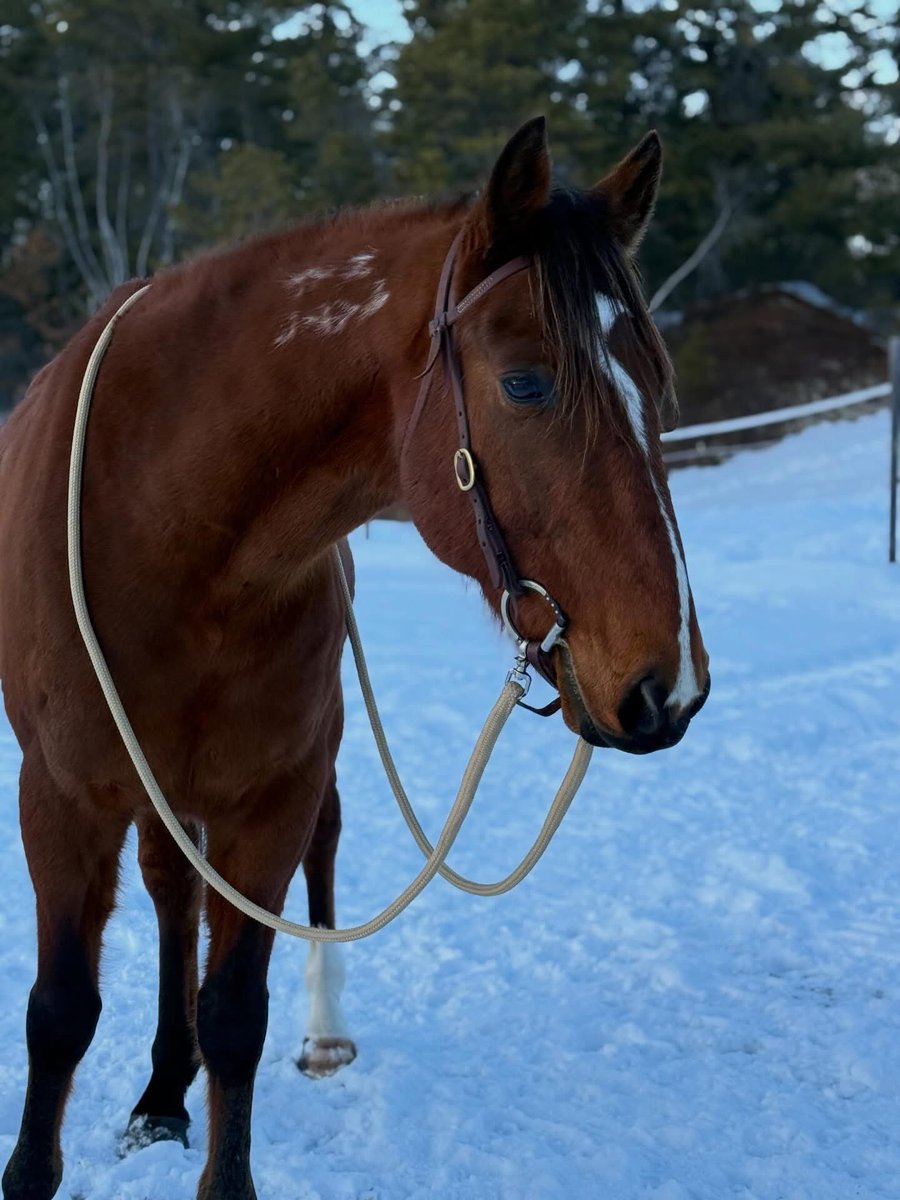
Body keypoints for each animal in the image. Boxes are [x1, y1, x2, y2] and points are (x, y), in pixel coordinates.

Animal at [0, 117, 709, 1200]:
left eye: (659, 387)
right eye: (526, 383)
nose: (665, 684)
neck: (162, 523)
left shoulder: (272, 795)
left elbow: (233, 1012)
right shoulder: (62, 798)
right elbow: (61, 1014)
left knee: (259, 873)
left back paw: (266, 1056)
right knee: (169, 894)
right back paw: (161, 1096)